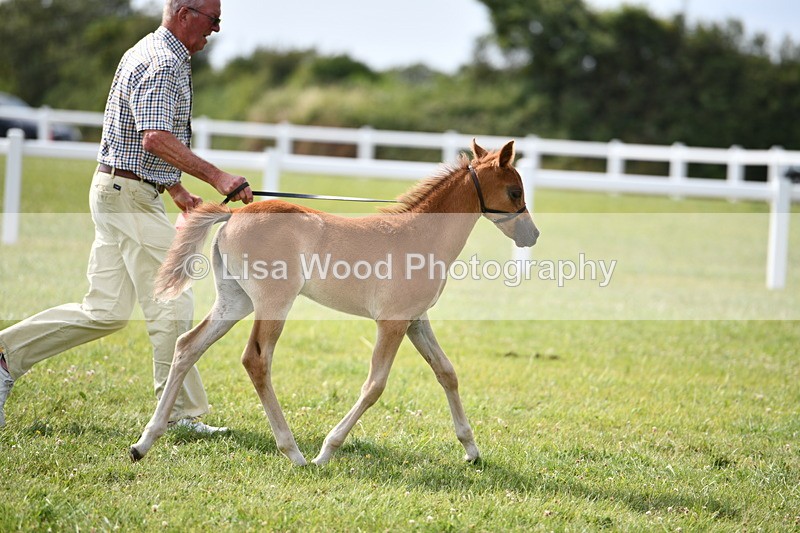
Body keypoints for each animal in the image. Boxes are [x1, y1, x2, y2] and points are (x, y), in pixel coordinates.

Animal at [130, 139, 539, 466]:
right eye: (515, 192)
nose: (532, 235)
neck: (419, 236)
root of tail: (234, 214)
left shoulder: (416, 320)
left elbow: (447, 372)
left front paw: (471, 450)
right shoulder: (392, 323)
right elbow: (374, 386)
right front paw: (328, 450)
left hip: (235, 301)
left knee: (187, 345)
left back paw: (144, 442)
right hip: (274, 304)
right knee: (256, 360)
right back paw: (294, 452)